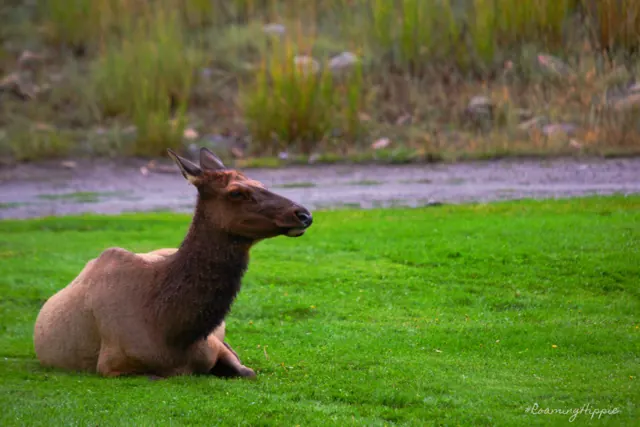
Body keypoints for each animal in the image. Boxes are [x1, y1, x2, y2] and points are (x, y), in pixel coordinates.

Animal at [33, 147, 313, 379]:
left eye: (259, 183)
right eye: (236, 192)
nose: (304, 214)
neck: (170, 332)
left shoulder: (214, 345)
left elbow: (248, 372)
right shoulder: (111, 365)